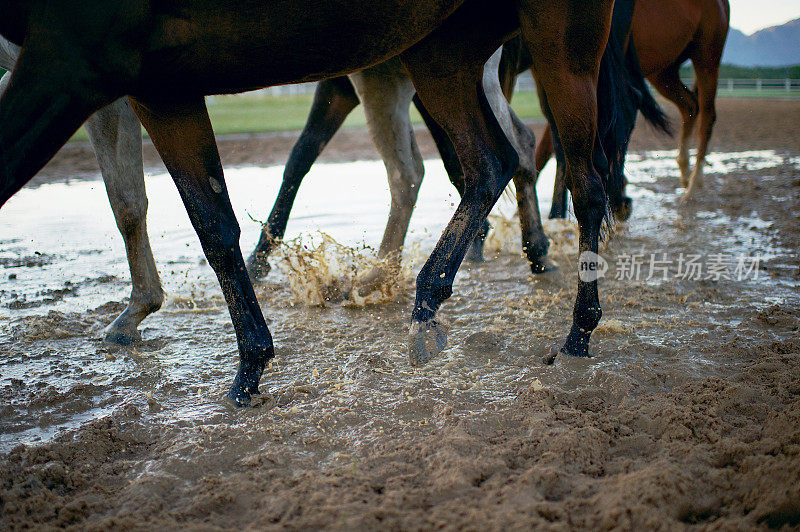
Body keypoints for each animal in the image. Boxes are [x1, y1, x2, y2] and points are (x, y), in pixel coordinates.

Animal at [0, 0, 616, 406]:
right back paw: (419, 290)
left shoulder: (96, 70)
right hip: (435, 53)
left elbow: (168, 210)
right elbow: (189, 212)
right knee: (483, 159)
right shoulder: (139, 83)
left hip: (556, 39)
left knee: (576, 180)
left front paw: (233, 356)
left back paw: (575, 329)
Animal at [544, 0, 732, 218]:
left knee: (708, 116)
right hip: (665, 72)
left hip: (706, 58)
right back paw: (685, 173)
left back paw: (692, 186)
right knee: (690, 105)